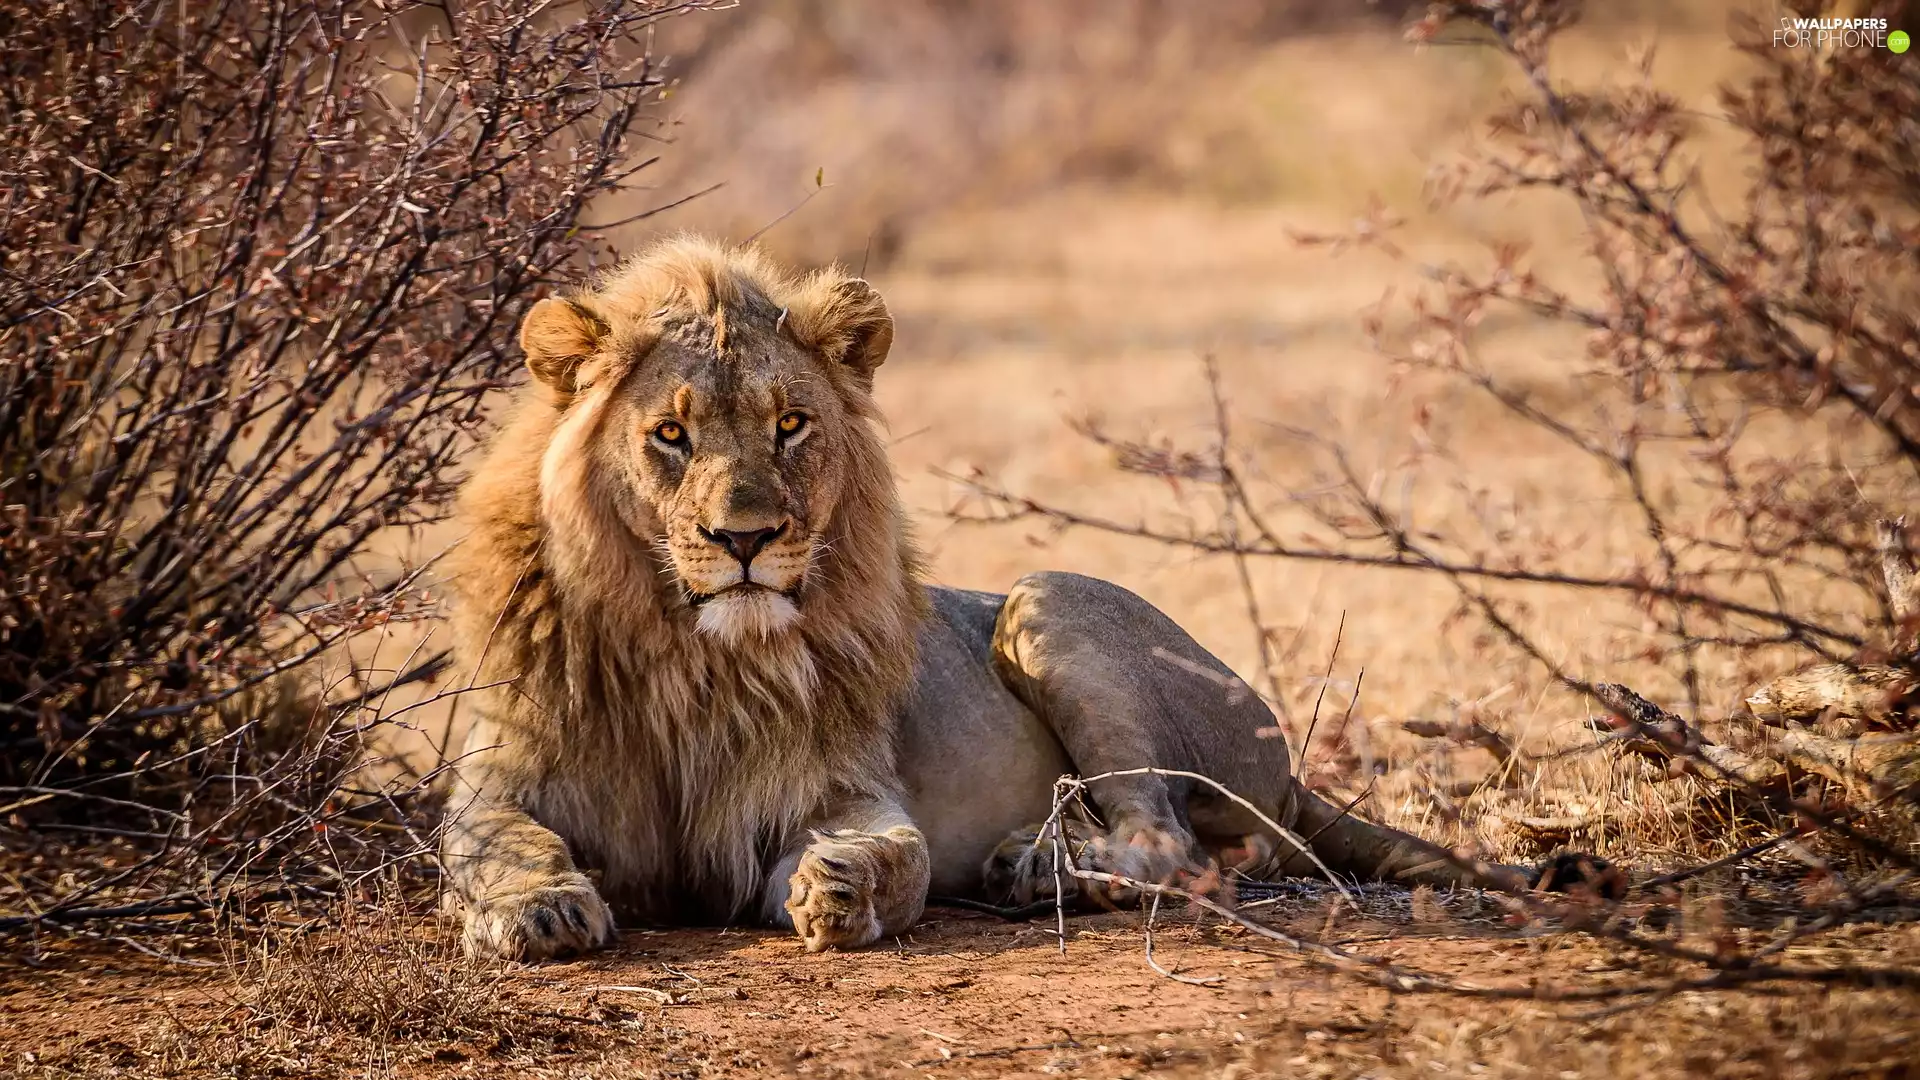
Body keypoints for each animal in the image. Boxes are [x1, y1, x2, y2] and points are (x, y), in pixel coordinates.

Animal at [440, 235, 1610, 961]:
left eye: (790, 425)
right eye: (671, 434)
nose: (746, 541)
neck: (690, 650)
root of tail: (1289, 768)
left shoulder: (836, 788)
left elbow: (897, 851)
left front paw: (841, 889)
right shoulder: (500, 776)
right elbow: (494, 843)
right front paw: (542, 910)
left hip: (1049, 603)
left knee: (1178, 851)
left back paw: (1040, 869)